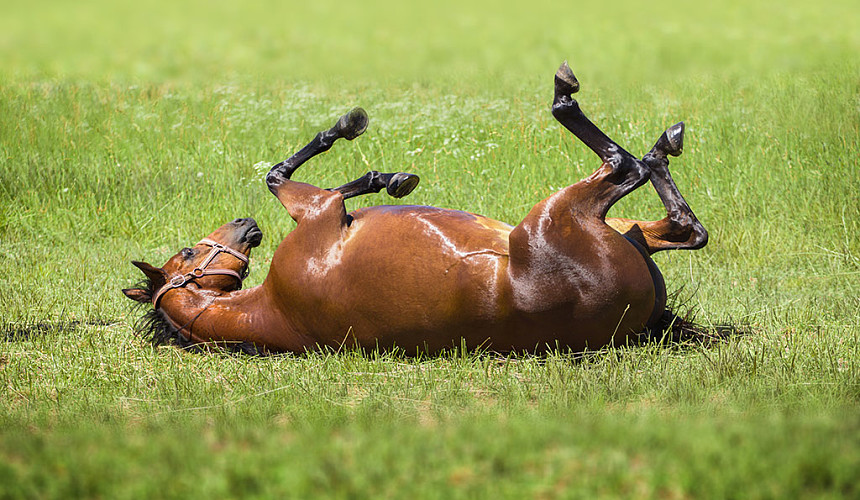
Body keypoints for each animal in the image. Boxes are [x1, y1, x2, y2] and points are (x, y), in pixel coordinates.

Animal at [124, 62, 708, 354]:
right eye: (186, 253)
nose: (244, 225)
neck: (274, 310)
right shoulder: (319, 210)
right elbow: (279, 176)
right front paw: (365, 151)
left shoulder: (320, 210)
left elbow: (288, 175)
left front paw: (383, 174)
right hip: (558, 212)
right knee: (627, 170)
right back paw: (613, 119)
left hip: (628, 228)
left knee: (683, 225)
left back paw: (662, 145)